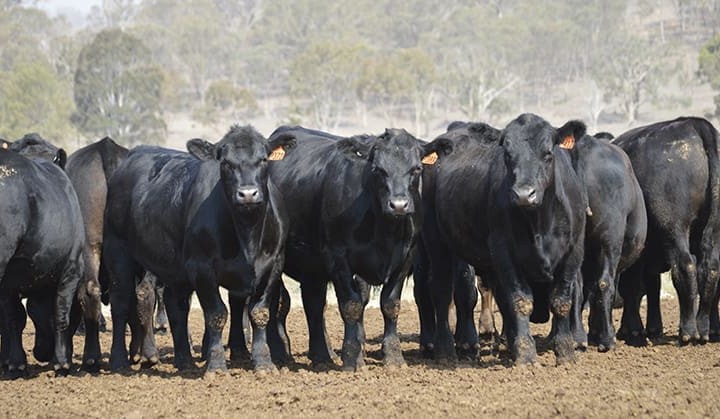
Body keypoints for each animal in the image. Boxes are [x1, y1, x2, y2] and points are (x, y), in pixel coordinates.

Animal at [0, 133, 85, 378]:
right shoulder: (72, 269)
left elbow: (15, 317)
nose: (41, 353)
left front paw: (16, 362)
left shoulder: (9, 283)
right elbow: (60, 313)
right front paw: (62, 362)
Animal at [103, 125, 296, 375]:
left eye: (263, 159)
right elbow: (216, 314)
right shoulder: (201, 267)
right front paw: (216, 366)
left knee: (176, 307)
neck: (247, 234)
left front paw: (264, 363)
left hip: (172, 268)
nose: (247, 194)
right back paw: (119, 361)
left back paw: (185, 361)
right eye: (226, 162)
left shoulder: (274, 265)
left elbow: (259, 312)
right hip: (118, 253)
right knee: (121, 303)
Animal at [267, 125, 440, 370]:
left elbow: (390, 305)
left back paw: (322, 355)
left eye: (416, 169)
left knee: (313, 302)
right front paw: (352, 358)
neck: (385, 229)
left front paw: (394, 358)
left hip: (312, 266)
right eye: (377, 169)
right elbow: (352, 306)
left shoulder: (405, 259)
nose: (398, 205)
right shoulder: (338, 258)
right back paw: (280, 353)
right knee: (278, 302)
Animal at [420, 115, 587, 365]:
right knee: (441, 291)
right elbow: (520, 301)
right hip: (437, 242)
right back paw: (445, 352)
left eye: (548, 153)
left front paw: (565, 353)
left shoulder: (573, 252)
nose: (524, 194)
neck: (539, 221)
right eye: (508, 155)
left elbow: (561, 301)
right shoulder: (505, 252)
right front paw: (526, 356)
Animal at [613, 117, 720, 345]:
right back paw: (704, 329)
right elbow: (650, 286)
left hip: (674, 228)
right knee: (711, 269)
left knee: (685, 267)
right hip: (713, 231)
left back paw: (688, 331)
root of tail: (696, 124)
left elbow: (632, 286)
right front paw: (652, 328)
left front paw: (632, 330)